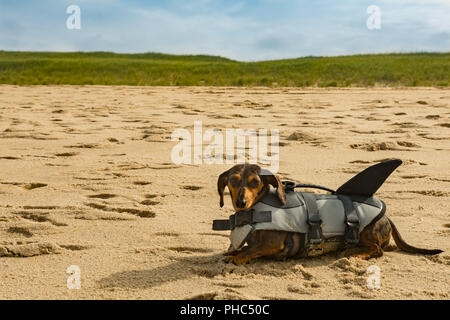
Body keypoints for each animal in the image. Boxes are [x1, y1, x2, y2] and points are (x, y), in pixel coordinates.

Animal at [218, 164, 442, 264]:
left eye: (255, 182)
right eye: (233, 180)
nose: (241, 202)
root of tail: (388, 218)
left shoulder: (272, 243)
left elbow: (249, 251)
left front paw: (238, 257)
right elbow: (242, 248)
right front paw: (233, 253)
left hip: (365, 232)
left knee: (378, 249)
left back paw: (356, 254)